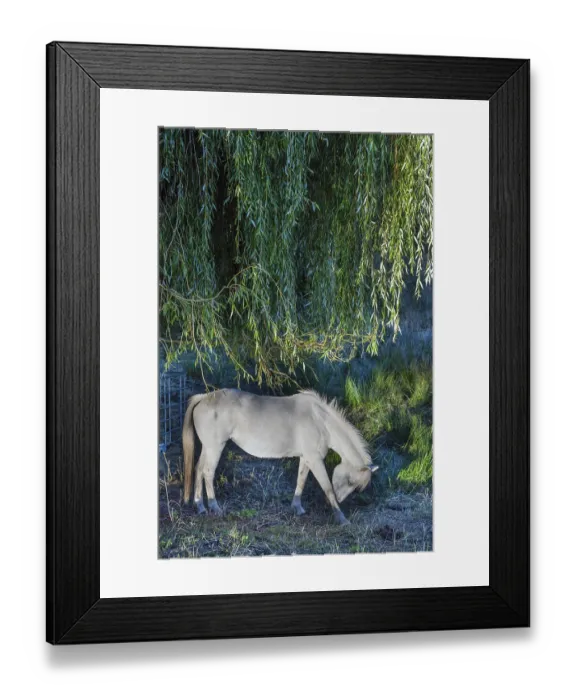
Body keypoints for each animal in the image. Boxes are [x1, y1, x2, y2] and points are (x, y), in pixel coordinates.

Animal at [182, 388, 378, 525]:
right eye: (351, 481)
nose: (339, 499)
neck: (320, 421)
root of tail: (204, 397)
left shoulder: (306, 458)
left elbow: (301, 481)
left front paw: (297, 508)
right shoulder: (315, 460)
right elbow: (327, 487)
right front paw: (341, 518)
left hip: (208, 448)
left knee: (198, 469)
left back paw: (200, 506)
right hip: (216, 448)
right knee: (208, 473)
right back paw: (214, 507)